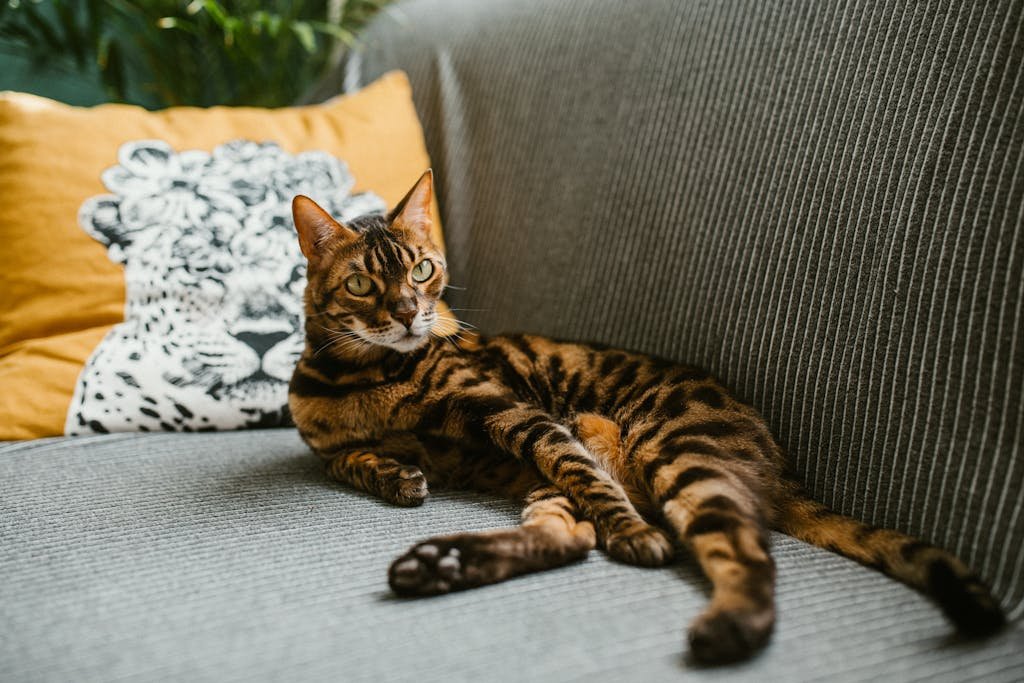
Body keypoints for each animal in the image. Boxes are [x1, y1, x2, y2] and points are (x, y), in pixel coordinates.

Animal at [290, 169, 1007, 663]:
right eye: (362, 283)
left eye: (422, 269)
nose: (411, 314)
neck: (365, 378)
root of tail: (780, 462)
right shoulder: (328, 444)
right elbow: (347, 460)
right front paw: (394, 474)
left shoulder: (516, 412)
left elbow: (583, 473)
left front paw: (633, 533)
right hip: (561, 486)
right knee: (572, 536)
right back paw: (441, 565)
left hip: (678, 455)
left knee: (743, 553)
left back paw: (722, 625)